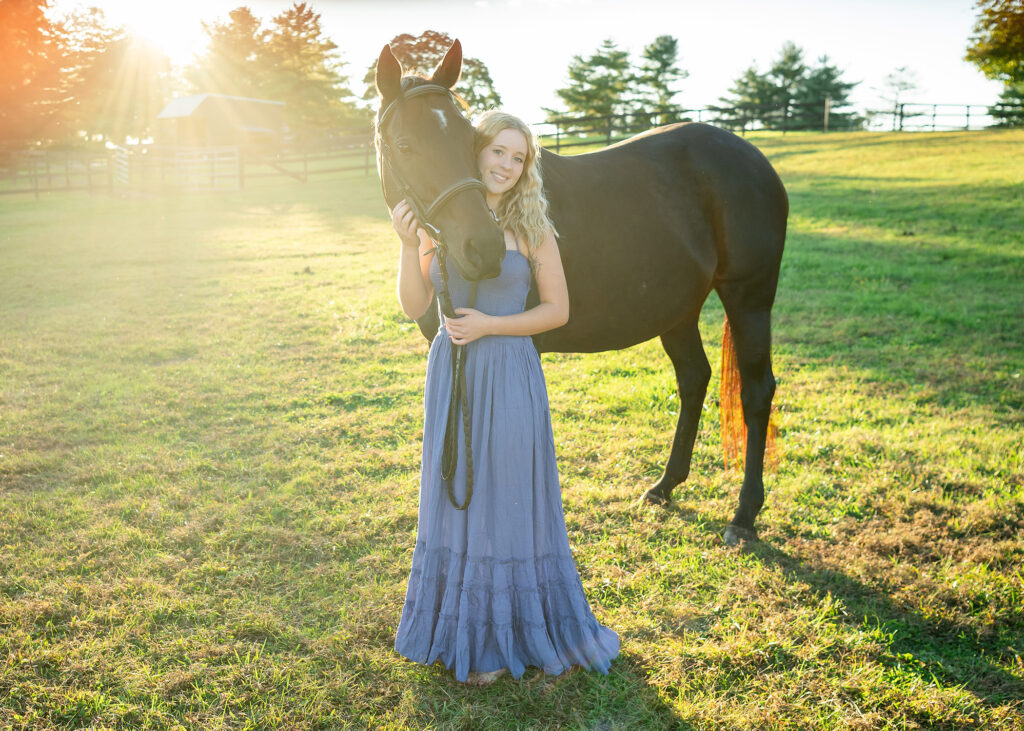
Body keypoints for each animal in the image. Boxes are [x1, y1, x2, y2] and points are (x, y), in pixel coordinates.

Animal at [374, 40, 787, 546]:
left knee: (756, 392)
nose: (485, 249)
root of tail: (754, 157)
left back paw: (744, 514)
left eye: (470, 139)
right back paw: (665, 486)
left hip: (750, 300)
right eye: (405, 145)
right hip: (679, 312)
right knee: (694, 379)